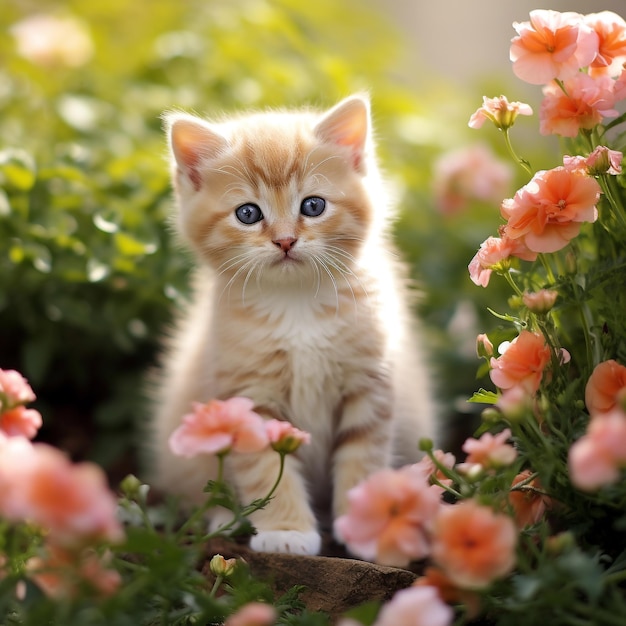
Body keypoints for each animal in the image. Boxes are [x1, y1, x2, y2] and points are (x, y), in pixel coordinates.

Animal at [148, 95, 436, 552]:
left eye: (313, 206)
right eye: (248, 213)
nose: (285, 240)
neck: (296, 304)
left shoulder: (369, 384)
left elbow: (364, 457)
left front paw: (367, 525)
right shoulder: (248, 397)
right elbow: (265, 468)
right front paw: (286, 532)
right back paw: (224, 518)